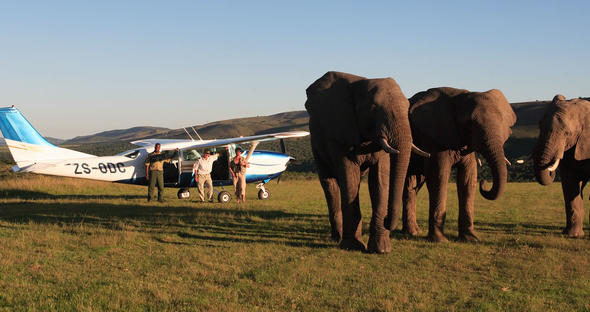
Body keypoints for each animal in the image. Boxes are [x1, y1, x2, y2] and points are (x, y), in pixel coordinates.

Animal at [306, 71, 430, 254]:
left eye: (408, 107)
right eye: (373, 108)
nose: (387, 220)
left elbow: (379, 179)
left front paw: (381, 249)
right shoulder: (341, 132)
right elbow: (350, 175)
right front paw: (352, 247)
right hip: (316, 145)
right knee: (330, 185)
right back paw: (337, 238)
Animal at [402, 86, 520, 243]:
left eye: (502, 123)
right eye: (469, 124)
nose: (484, 182)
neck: (458, 96)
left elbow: (468, 178)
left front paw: (471, 239)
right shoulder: (435, 136)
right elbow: (439, 176)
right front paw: (440, 240)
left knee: (412, 185)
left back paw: (412, 232)